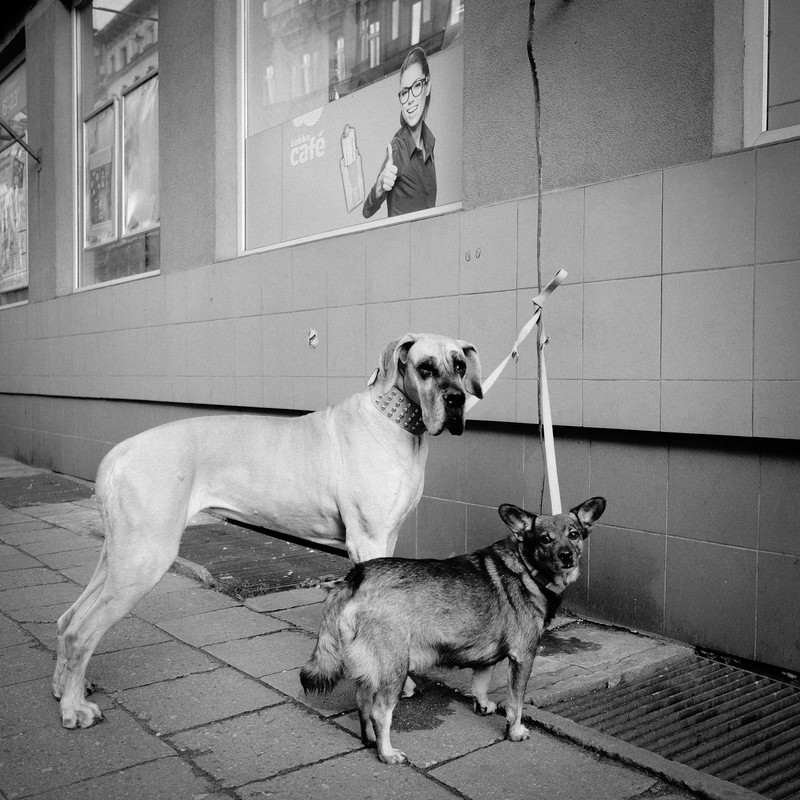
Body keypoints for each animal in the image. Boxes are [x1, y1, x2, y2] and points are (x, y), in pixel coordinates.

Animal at [56, 334, 484, 728]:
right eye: (425, 367)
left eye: (460, 365)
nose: (456, 400)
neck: (393, 420)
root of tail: (120, 452)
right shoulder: (369, 539)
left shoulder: (386, 538)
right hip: (144, 557)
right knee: (81, 631)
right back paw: (75, 709)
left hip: (120, 554)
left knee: (67, 619)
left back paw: (65, 688)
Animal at [302, 496, 608, 764]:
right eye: (545, 539)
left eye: (574, 534)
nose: (566, 556)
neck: (527, 568)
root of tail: (356, 577)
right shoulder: (523, 657)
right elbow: (516, 703)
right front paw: (515, 730)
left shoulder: (488, 656)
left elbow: (481, 682)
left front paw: (483, 706)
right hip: (395, 668)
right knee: (379, 712)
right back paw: (387, 753)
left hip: (371, 670)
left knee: (363, 704)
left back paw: (370, 741)